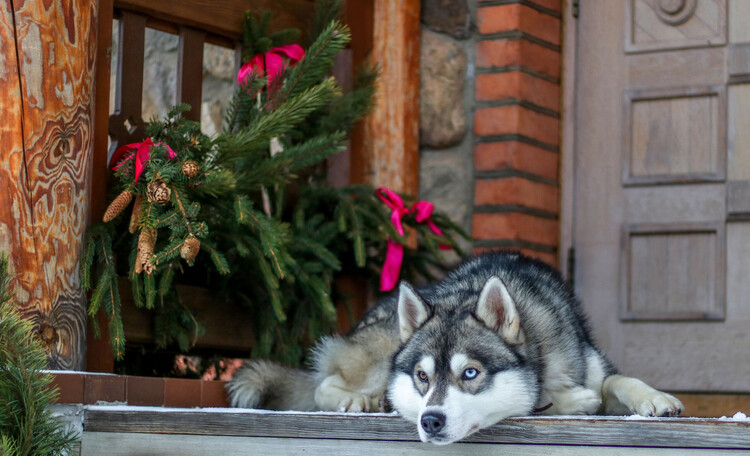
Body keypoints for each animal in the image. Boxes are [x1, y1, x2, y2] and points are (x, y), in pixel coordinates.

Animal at [226, 251, 684, 444]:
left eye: (470, 374)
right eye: (422, 377)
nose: (430, 420)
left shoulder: (591, 365)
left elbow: (618, 381)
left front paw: (655, 398)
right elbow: (553, 401)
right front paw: (573, 402)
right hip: (381, 348)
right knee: (324, 384)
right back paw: (359, 401)